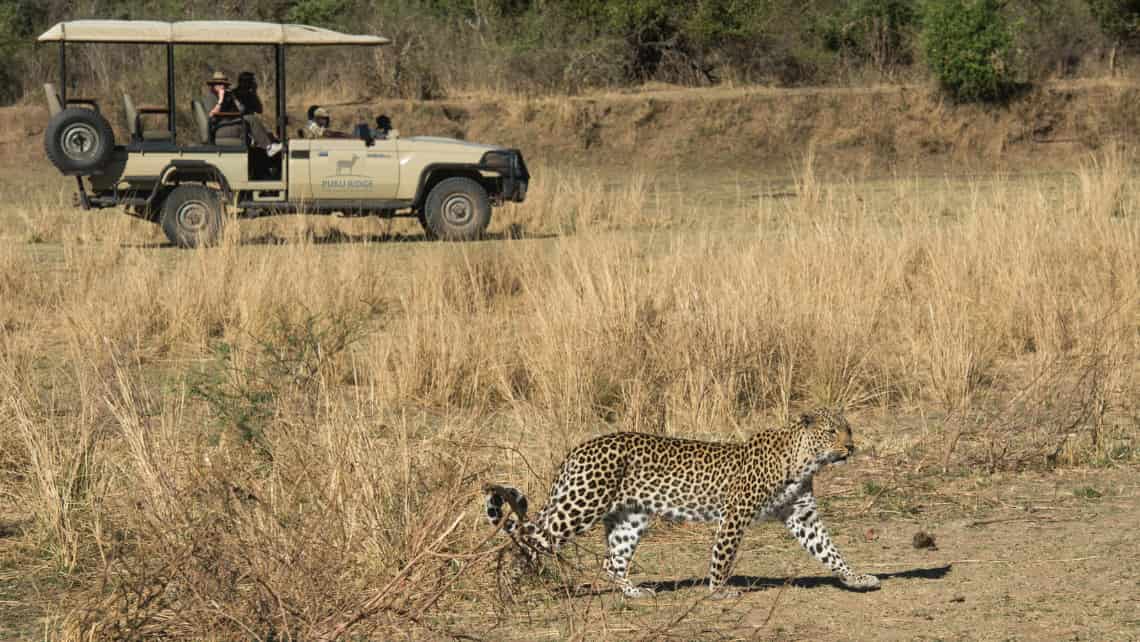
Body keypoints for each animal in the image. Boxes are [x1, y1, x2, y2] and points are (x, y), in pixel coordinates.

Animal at [481, 410, 880, 602]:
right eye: (831, 432)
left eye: (848, 429)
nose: (850, 447)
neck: (804, 461)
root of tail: (578, 449)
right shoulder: (736, 514)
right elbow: (723, 556)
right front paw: (718, 590)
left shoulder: (802, 515)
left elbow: (829, 550)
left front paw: (856, 578)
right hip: (580, 506)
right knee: (521, 541)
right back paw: (507, 589)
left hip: (629, 517)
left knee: (612, 562)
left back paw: (635, 593)